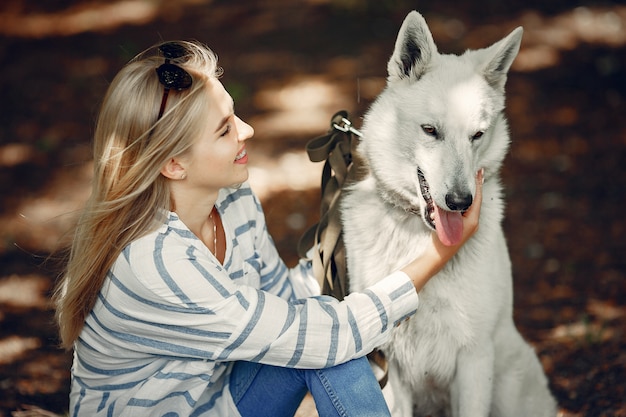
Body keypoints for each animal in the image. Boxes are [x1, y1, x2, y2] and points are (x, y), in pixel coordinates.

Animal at [342, 10, 556, 416]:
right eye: (430, 130)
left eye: (477, 135)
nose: (460, 202)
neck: (418, 238)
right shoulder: (393, 365)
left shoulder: (473, 358)